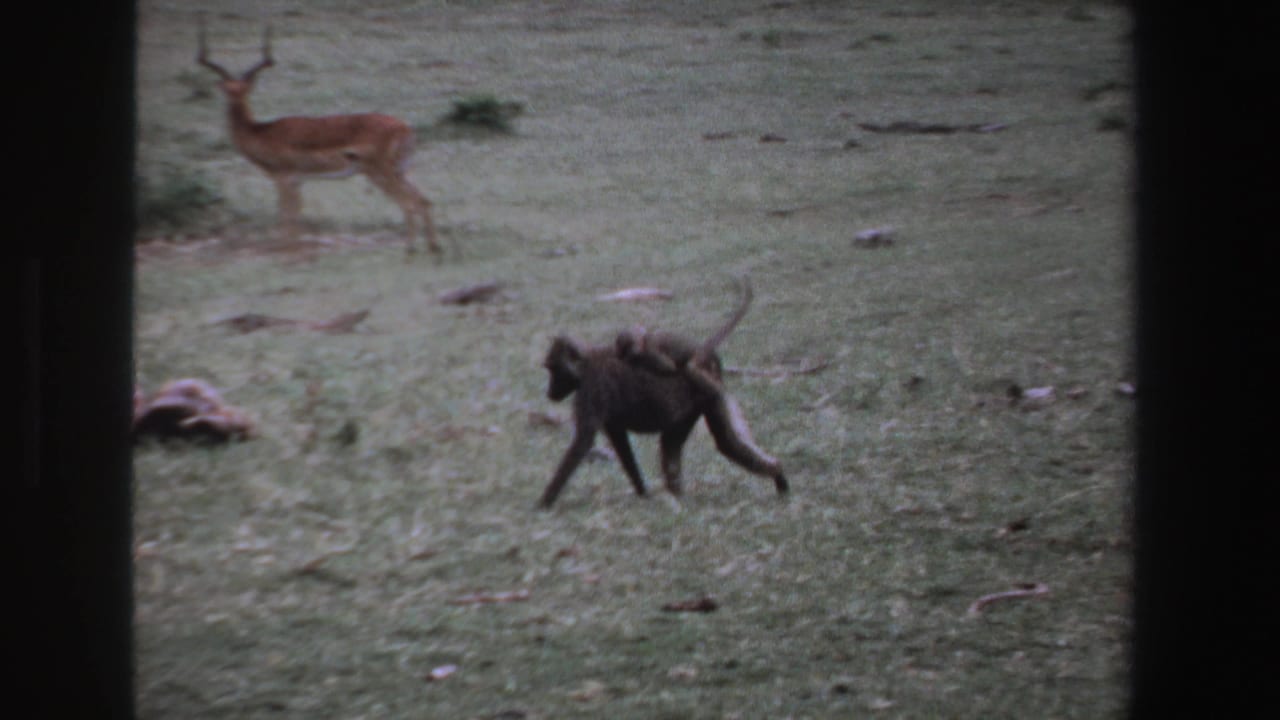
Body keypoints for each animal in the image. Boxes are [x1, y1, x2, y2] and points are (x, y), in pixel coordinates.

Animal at [197, 23, 446, 257]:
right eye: (230, 90)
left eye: (239, 90)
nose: (234, 99)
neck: (261, 132)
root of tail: (405, 128)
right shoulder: (297, 181)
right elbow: (294, 216)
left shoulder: (284, 179)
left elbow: (287, 218)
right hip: (399, 172)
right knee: (423, 200)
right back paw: (433, 247)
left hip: (381, 173)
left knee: (409, 203)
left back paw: (411, 249)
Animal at [539, 279, 787, 508]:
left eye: (553, 369)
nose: (549, 392)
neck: (586, 363)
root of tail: (704, 356)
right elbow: (620, 443)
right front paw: (643, 492)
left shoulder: (591, 388)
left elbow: (583, 441)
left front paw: (543, 504)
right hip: (697, 401)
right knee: (706, 443)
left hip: (704, 387)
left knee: (724, 442)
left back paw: (777, 475)